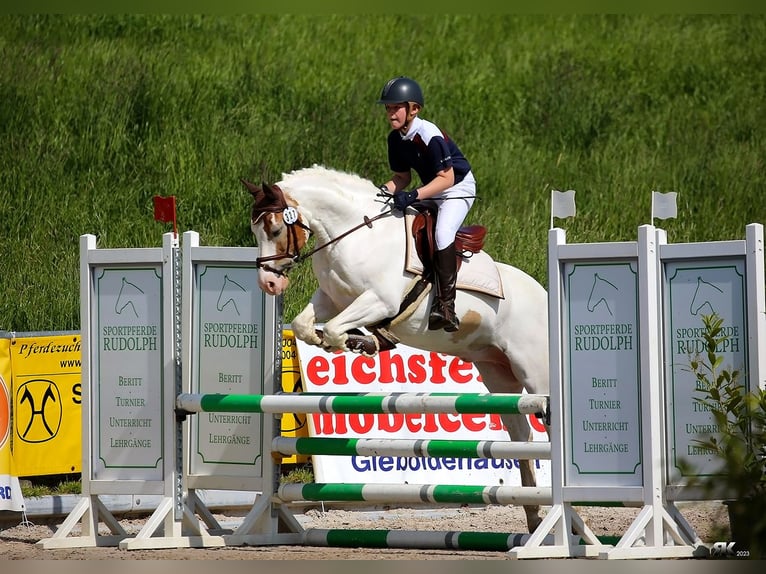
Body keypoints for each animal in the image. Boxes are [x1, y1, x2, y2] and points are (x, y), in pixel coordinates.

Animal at [246, 164, 552, 532]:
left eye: (276, 228)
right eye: (254, 230)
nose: (269, 283)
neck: (355, 234)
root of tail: (544, 294)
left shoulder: (379, 301)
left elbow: (335, 328)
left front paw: (357, 340)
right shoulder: (333, 299)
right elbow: (307, 326)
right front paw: (346, 341)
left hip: (534, 371)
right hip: (498, 373)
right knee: (522, 435)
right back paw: (533, 516)